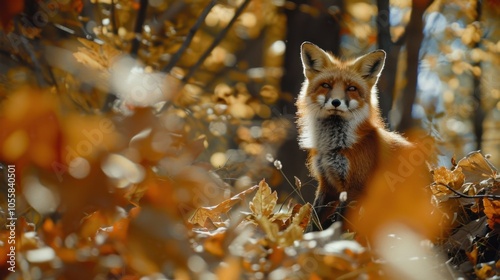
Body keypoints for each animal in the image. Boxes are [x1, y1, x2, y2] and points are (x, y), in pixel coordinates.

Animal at [296, 41, 414, 230]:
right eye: (326, 85)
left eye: (351, 88)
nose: (336, 102)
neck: (336, 146)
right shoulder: (327, 184)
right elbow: (314, 220)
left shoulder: (356, 187)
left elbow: (341, 222)